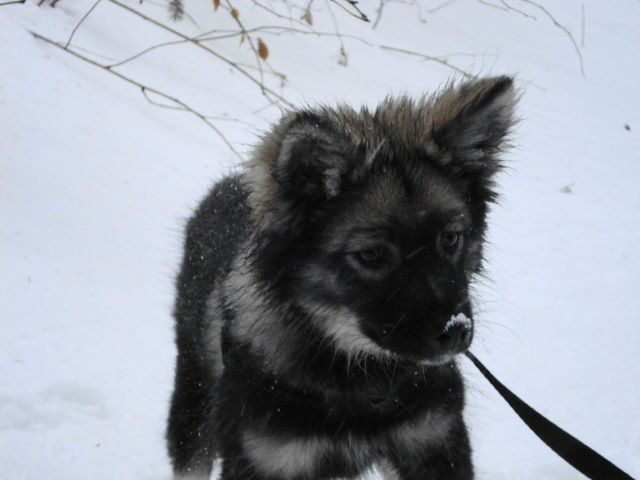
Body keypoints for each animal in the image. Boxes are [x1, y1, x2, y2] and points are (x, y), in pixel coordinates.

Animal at [167, 76, 517, 480]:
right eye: (371, 255)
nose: (456, 330)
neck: (359, 379)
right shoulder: (265, 458)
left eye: (450, 238)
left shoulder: (434, 441)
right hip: (193, 400)